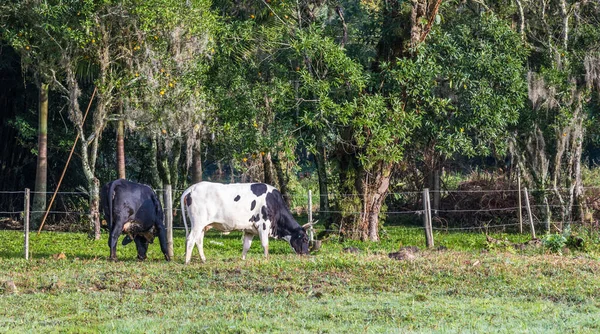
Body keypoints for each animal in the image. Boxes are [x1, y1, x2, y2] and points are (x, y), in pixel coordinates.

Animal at [179, 181, 310, 264]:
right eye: (305, 239)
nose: (306, 254)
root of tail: (192, 188)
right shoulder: (263, 224)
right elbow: (265, 244)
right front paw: (266, 259)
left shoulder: (249, 230)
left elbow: (246, 246)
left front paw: (242, 259)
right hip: (197, 223)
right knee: (190, 239)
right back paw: (187, 261)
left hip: (203, 225)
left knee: (199, 240)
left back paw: (203, 260)